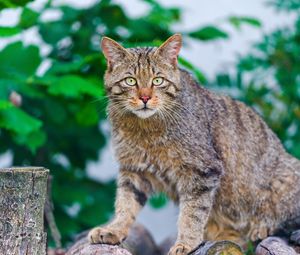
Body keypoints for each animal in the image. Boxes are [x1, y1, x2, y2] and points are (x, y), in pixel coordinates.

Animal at [88, 34, 300, 255]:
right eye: (130, 81)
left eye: (158, 80)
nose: (145, 97)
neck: (145, 129)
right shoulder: (133, 170)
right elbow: (125, 204)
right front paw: (114, 229)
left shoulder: (202, 171)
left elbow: (192, 213)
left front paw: (186, 243)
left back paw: (262, 227)